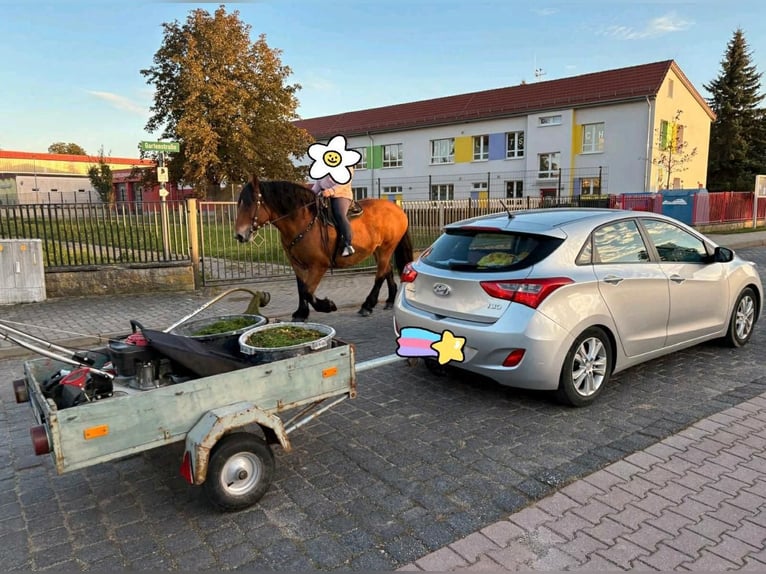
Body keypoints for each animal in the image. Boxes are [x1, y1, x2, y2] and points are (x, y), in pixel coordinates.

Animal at [234, 179, 414, 322]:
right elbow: (301, 288)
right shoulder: (297, 265)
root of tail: (397, 209)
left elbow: (307, 291)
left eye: (250, 203)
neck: (302, 221)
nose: (239, 235)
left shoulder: (319, 266)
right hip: (378, 250)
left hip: (386, 248)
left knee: (380, 275)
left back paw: (367, 305)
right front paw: (301, 313)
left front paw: (327, 305)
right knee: (387, 270)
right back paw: (389, 300)